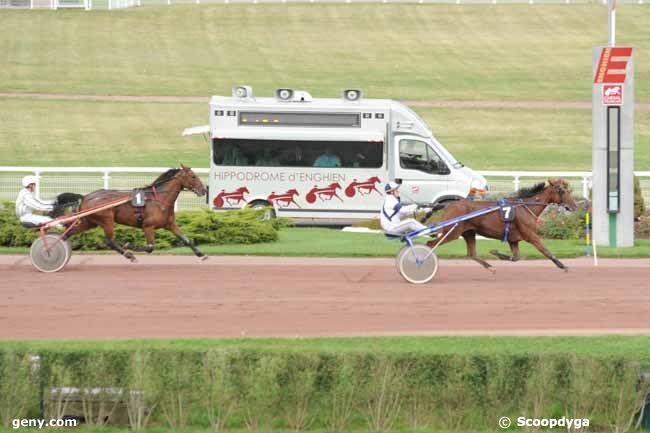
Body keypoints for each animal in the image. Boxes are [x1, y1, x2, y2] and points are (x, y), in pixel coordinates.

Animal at [62, 165, 206, 260]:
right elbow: (150, 247)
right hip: (107, 220)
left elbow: (186, 239)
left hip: (89, 222)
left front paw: (201, 254)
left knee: (69, 233)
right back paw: (128, 254)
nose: (204, 190)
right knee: (109, 241)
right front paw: (129, 245)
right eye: (193, 176)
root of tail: (85, 196)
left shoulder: (170, 224)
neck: (159, 199)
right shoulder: (148, 226)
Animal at [426, 179, 576, 270]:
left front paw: (495, 252)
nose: (575, 206)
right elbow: (545, 250)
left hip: (469, 232)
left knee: (471, 253)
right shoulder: (530, 235)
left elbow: (516, 257)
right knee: (430, 244)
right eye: (562, 191)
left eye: (568, 190)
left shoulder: (513, 239)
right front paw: (562, 265)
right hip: (452, 232)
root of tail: (449, 204)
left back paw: (490, 267)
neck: (526, 206)